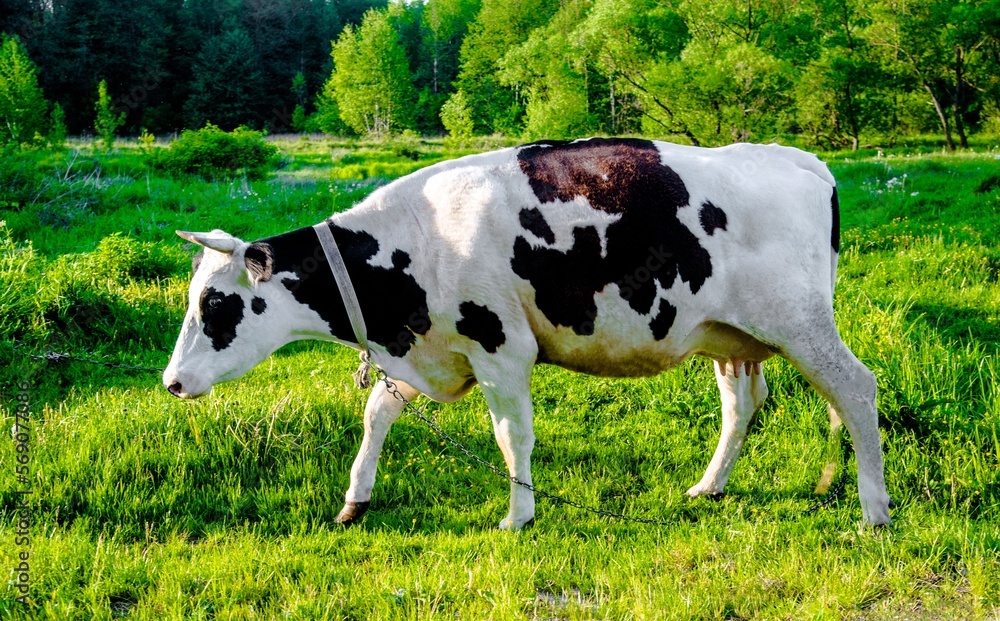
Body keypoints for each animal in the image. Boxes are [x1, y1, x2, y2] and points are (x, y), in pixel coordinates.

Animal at [162, 139, 892, 528]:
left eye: (217, 303)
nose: (171, 382)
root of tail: (795, 160)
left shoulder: (500, 349)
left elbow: (511, 436)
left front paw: (518, 516)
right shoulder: (426, 348)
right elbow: (377, 413)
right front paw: (354, 499)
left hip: (801, 322)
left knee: (857, 390)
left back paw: (874, 508)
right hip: (728, 335)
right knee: (743, 404)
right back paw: (708, 486)